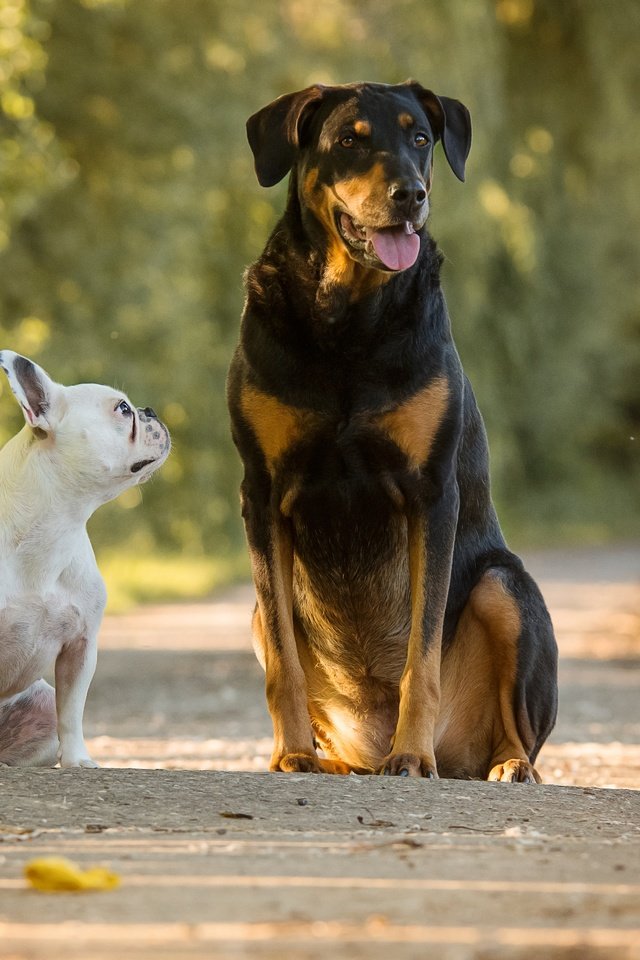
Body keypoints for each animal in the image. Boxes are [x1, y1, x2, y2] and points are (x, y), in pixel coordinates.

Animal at [228, 77, 556, 780]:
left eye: (421, 138)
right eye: (349, 139)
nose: (411, 193)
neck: (349, 318)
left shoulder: (431, 491)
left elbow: (421, 655)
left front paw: (412, 754)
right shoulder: (261, 493)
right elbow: (285, 665)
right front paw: (291, 753)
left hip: (505, 587)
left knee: (521, 727)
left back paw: (504, 764)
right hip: (255, 616)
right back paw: (328, 758)